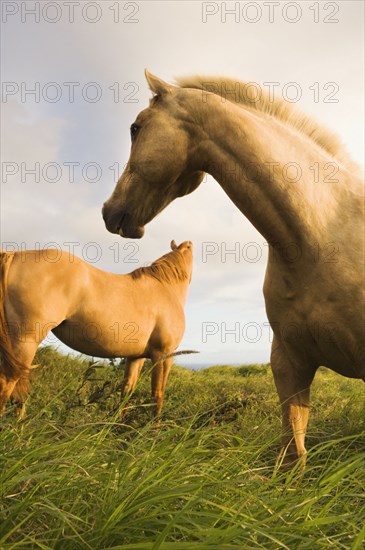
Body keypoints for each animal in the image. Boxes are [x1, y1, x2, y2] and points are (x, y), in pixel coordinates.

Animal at [0, 242, 193, 418]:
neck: (166, 288)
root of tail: (14, 255)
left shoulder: (135, 358)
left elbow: (126, 393)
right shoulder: (163, 355)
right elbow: (157, 396)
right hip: (26, 341)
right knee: (7, 382)